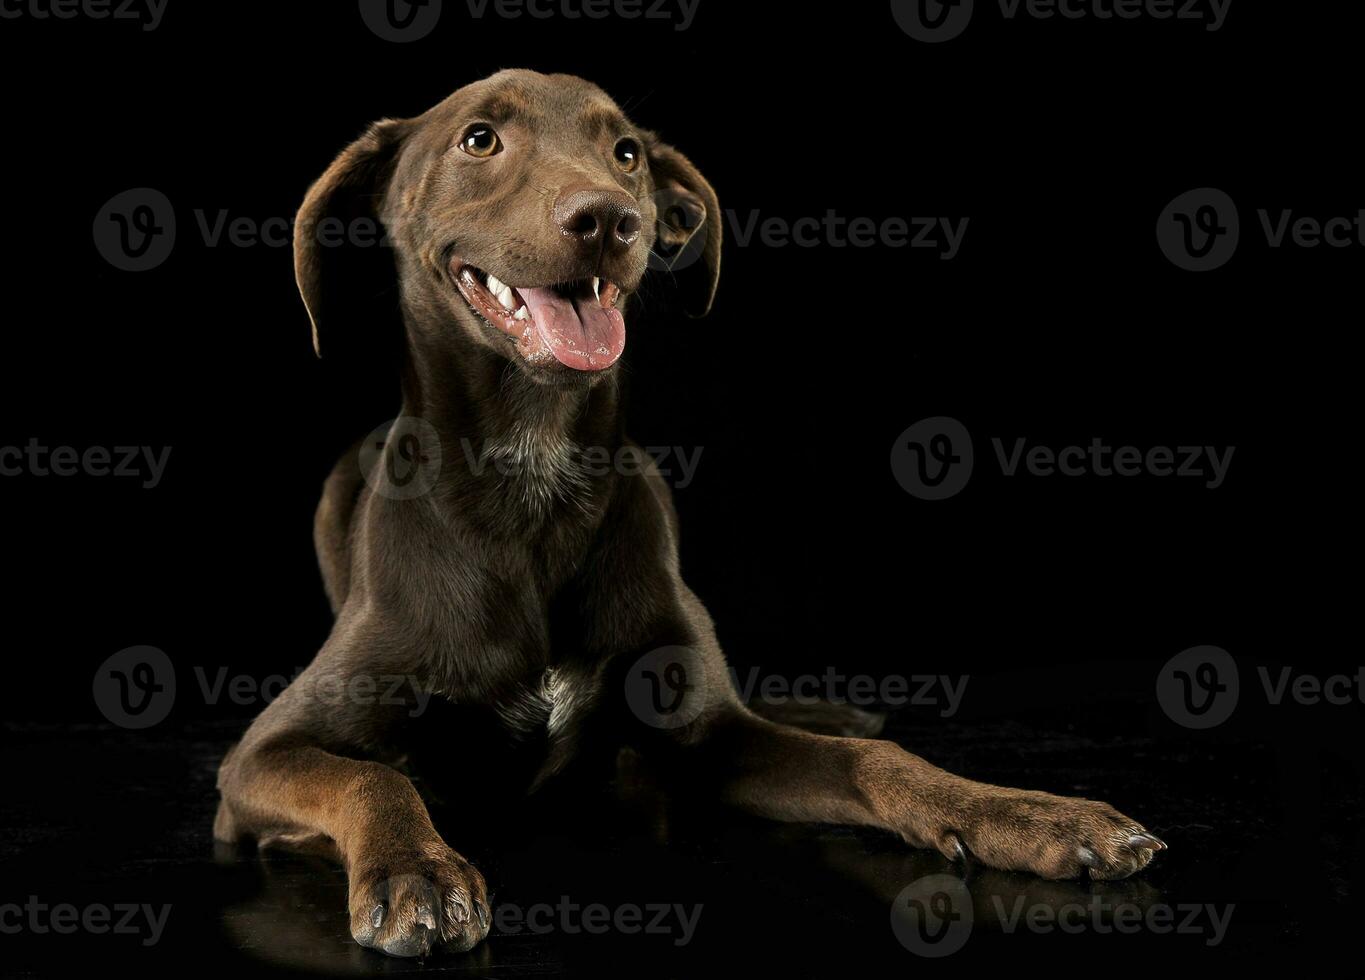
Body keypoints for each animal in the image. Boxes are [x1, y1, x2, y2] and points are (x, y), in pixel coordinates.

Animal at [212, 68, 1162, 960]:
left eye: (626, 151)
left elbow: (875, 761)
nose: (608, 219)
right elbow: (373, 779)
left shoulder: (711, 737)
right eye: (479, 138)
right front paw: (416, 870)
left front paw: (1032, 815)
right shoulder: (258, 758)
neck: (532, 473)